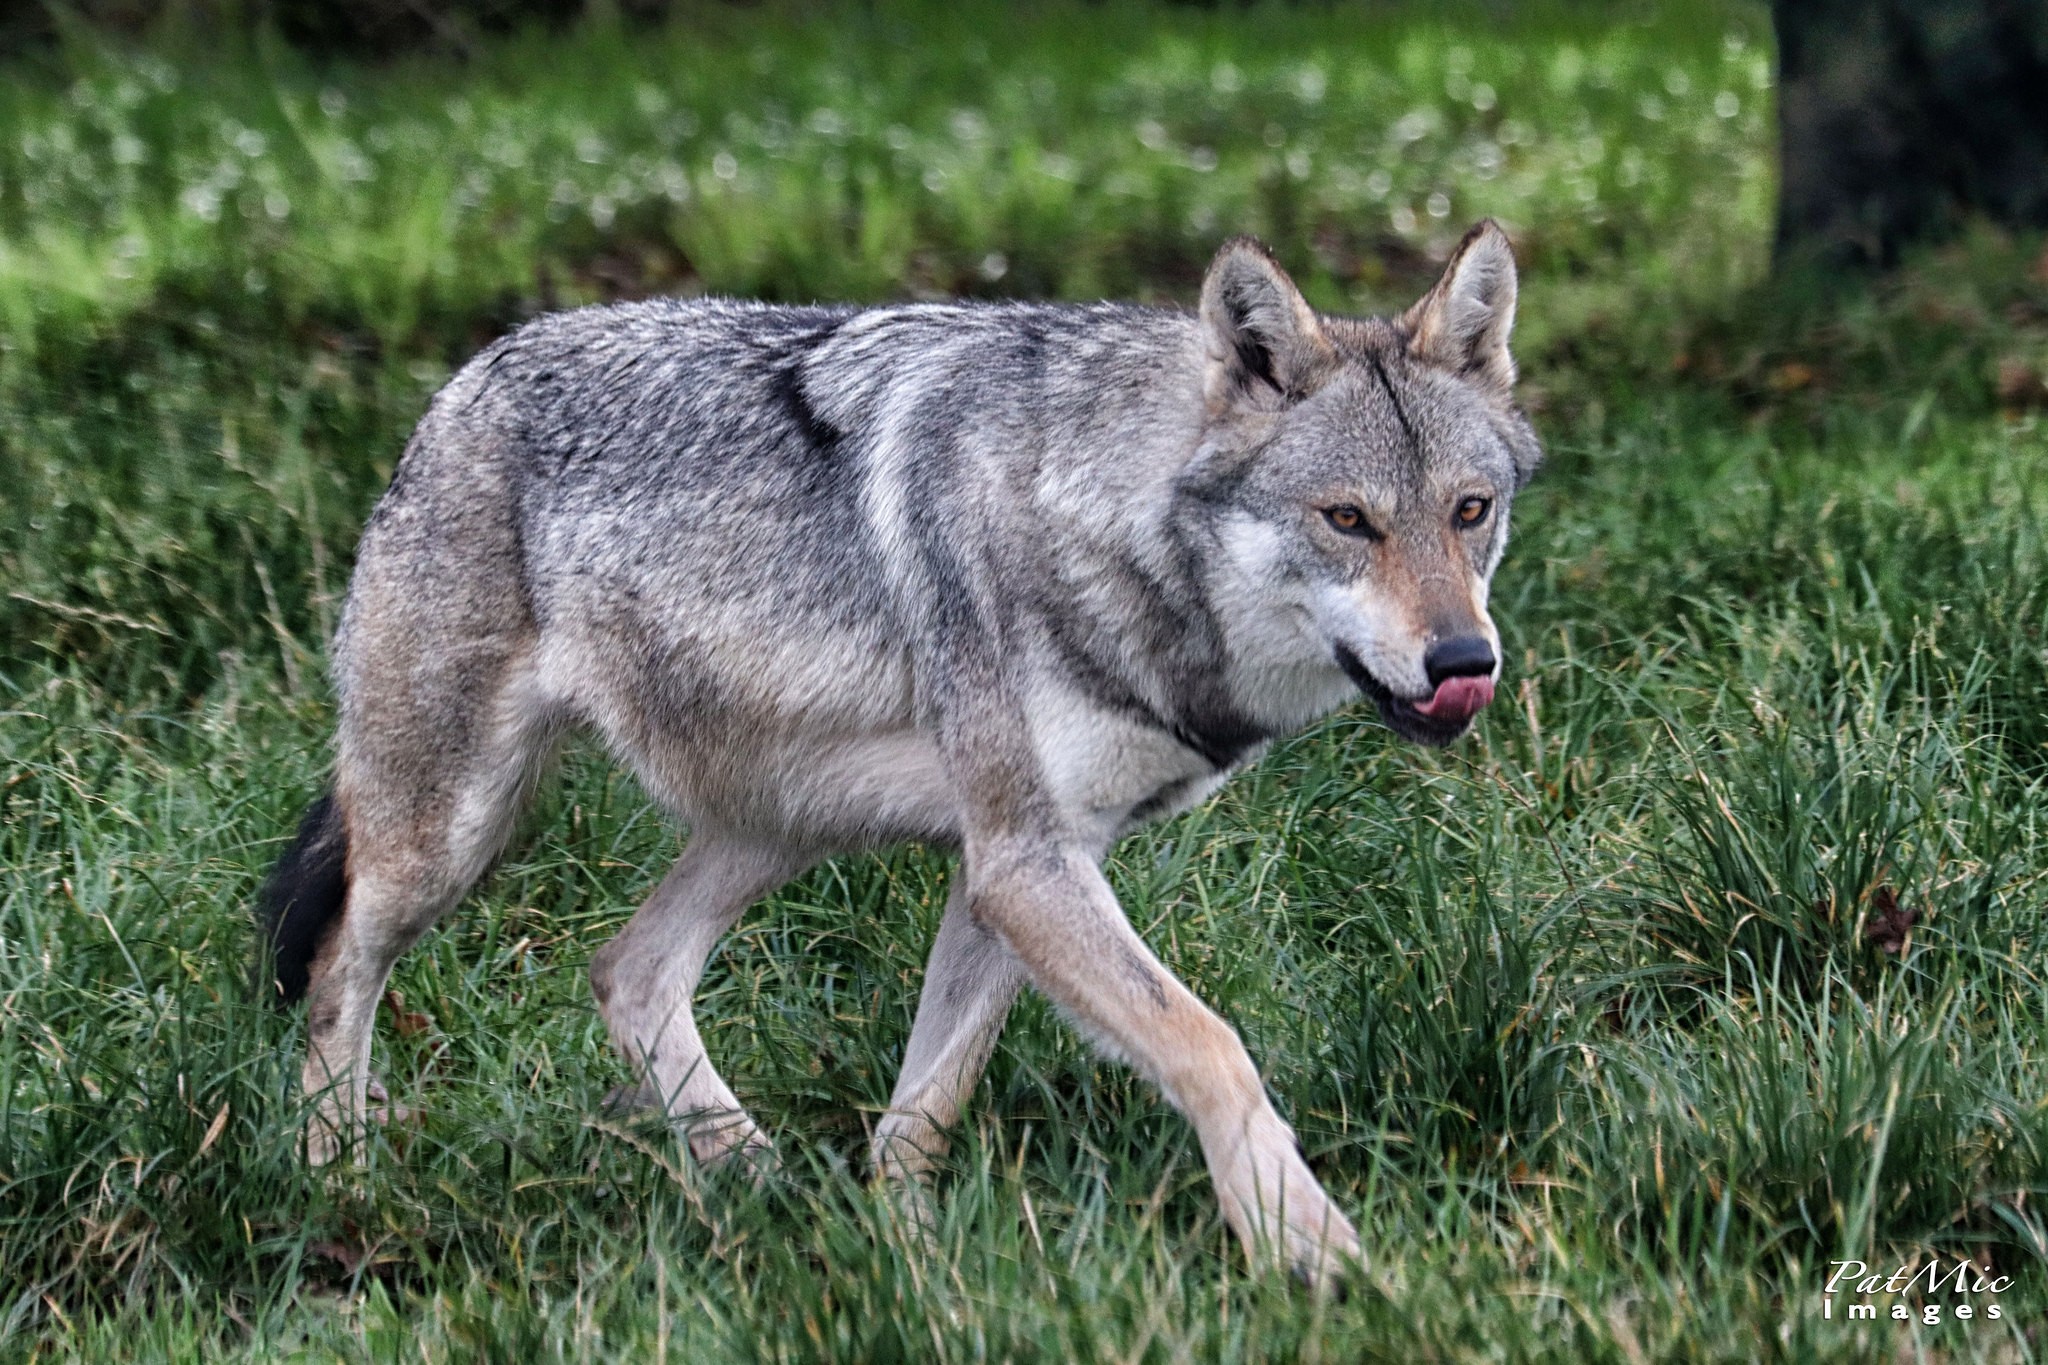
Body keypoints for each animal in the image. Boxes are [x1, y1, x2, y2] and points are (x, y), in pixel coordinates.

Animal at [256, 222, 1540, 1285]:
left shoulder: (1016, 868)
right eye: (1347, 520)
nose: (1462, 659)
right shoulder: (1024, 865)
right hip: (449, 838)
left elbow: (923, 1111)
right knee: (334, 969)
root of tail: (460, 382)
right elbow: (1210, 1045)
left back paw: (754, 1175)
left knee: (627, 967)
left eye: (1468, 512)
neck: (1099, 516)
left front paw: (905, 1255)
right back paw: (339, 1184)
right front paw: (1304, 1246)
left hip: (779, 828)